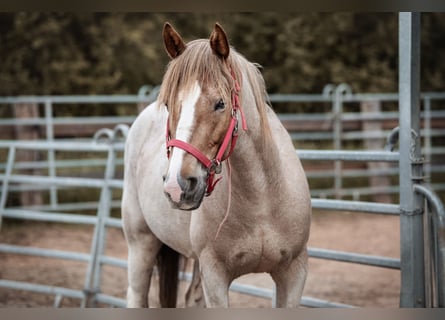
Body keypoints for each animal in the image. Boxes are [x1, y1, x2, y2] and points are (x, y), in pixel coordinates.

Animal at [119, 22, 310, 308]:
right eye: (168, 105)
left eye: (220, 104)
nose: (177, 186)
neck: (263, 200)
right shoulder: (215, 276)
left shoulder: (294, 273)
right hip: (141, 243)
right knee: (137, 293)